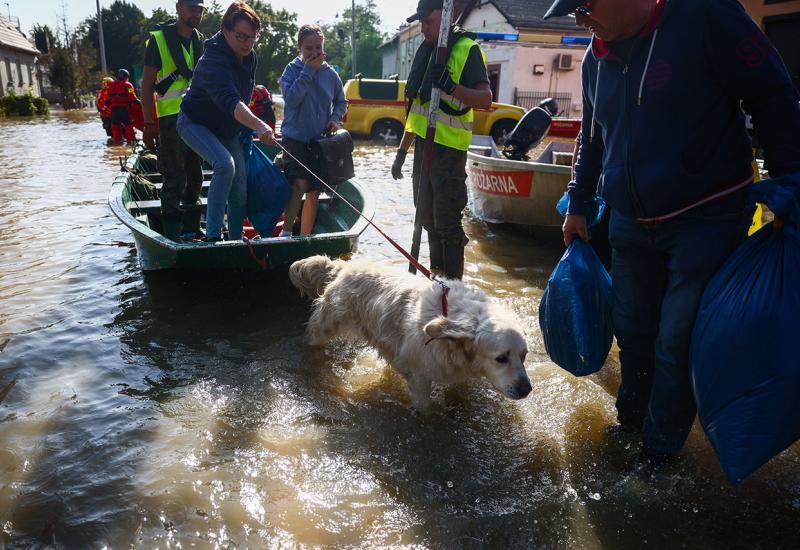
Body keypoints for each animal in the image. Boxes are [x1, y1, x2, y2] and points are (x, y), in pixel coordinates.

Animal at [288, 256, 532, 410]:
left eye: (523, 355)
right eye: (501, 358)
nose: (527, 389)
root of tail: (342, 268)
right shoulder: (420, 376)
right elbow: (425, 408)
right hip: (325, 326)